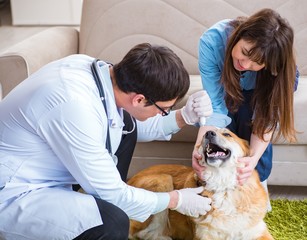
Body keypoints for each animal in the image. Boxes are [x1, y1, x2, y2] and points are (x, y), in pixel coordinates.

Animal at [127, 128, 274, 239]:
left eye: (227, 134)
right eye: (205, 134)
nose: (208, 133)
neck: (223, 188)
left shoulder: (258, 231)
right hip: (163, 180)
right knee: (141, 234)